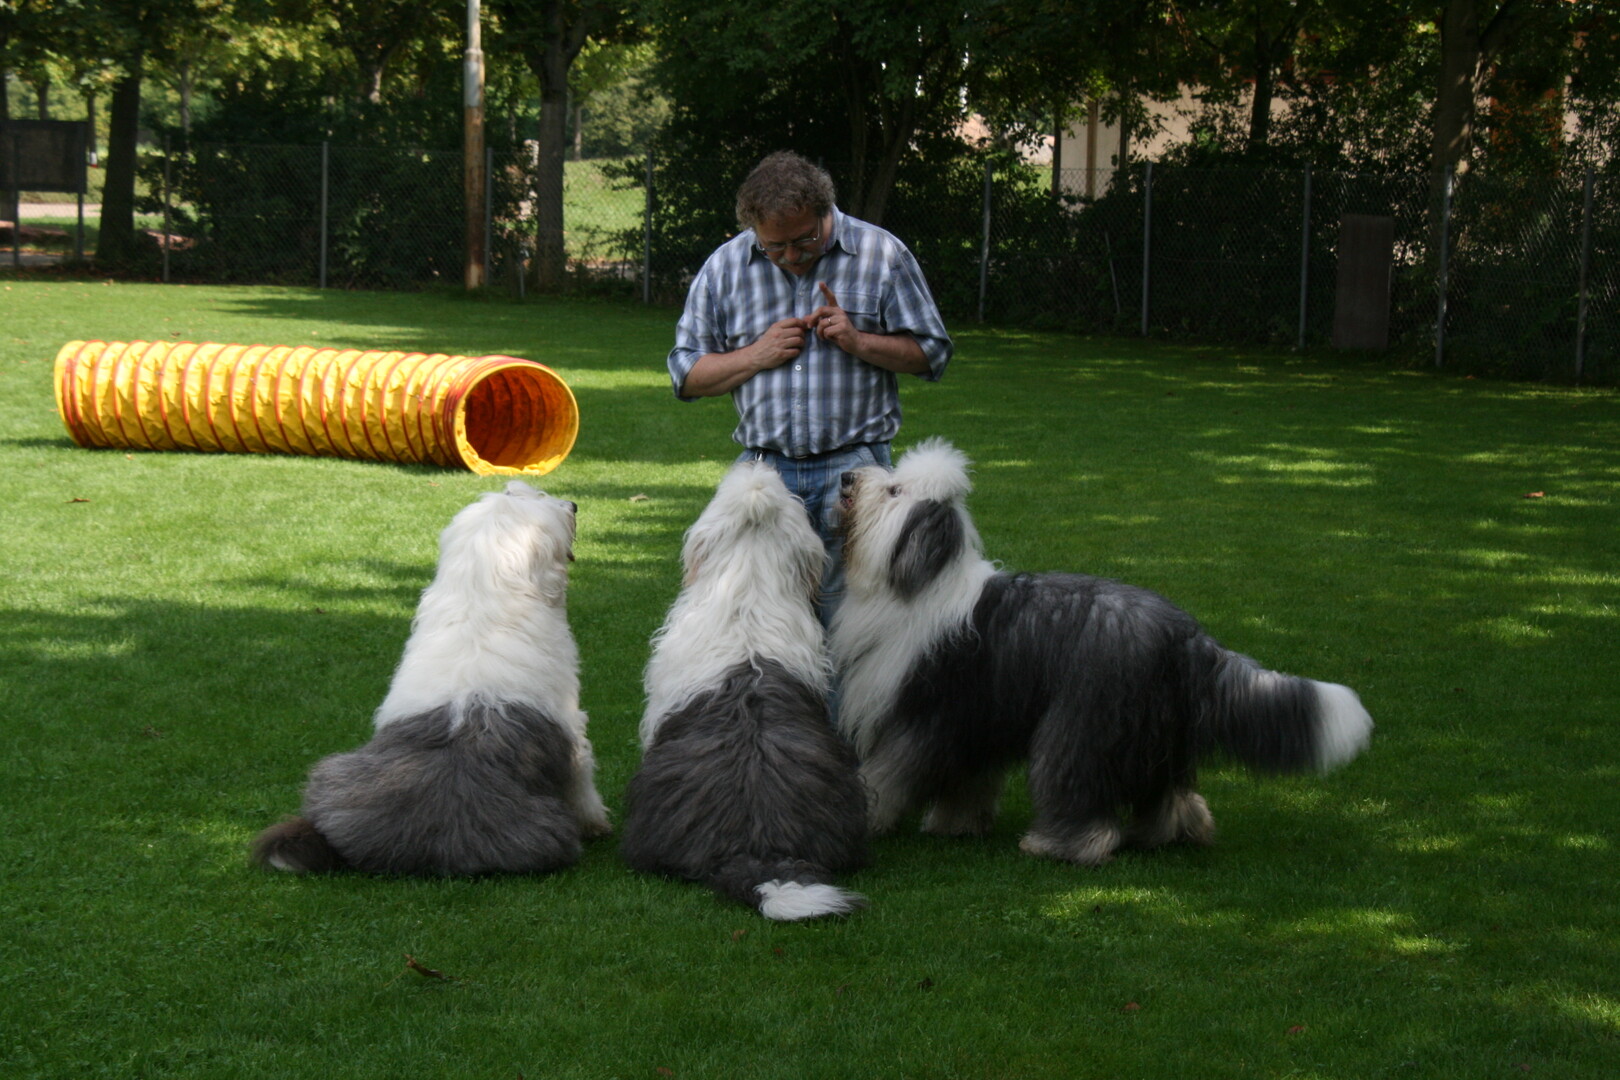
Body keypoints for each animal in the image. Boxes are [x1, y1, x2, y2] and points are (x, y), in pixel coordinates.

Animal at [252, 481, 611, 875]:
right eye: (542, 500)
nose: (573, 505)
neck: (481, 604)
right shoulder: (574, 729)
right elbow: (584, 782)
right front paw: (598, 824)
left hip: (333, 771)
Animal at [830, 439, 1373, 865]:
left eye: (895, 491)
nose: (846, 477)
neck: (917, 583)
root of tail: (1186, 636)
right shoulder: (975, 718)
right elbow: (967, 780)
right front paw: (956, 824)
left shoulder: (926, 711)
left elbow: (887, 771)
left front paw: (870, 816)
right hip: (1156, 731)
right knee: (1170, 793)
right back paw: (1170, 833)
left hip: (1084, 720)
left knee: (1079, 791)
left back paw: (1057, 845)